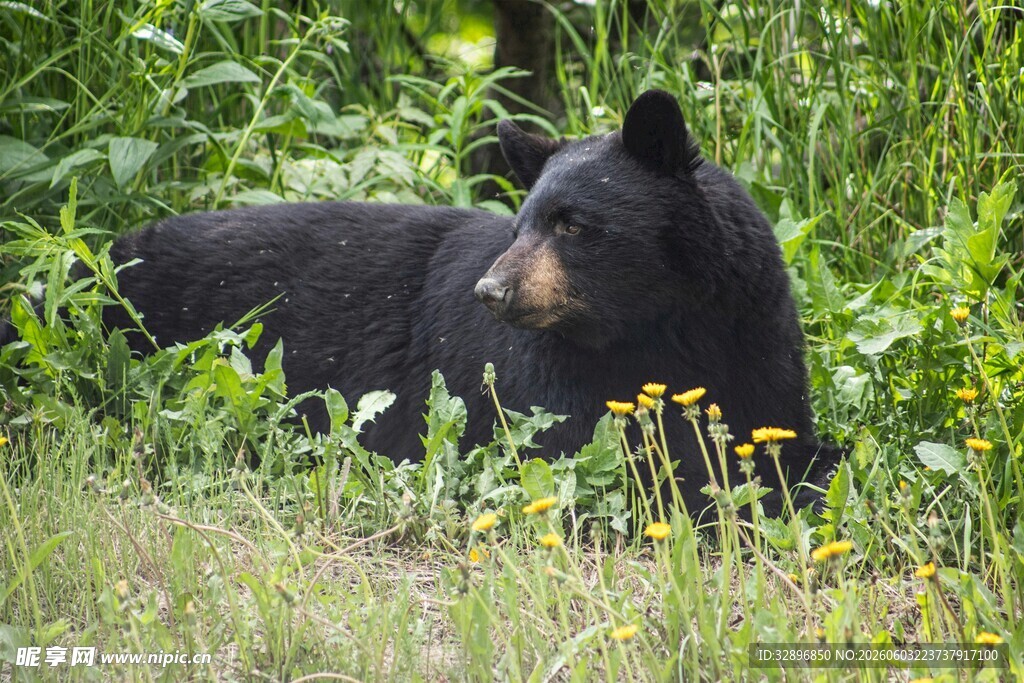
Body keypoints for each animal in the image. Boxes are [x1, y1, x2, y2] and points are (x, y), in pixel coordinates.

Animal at [29, 89, 838, 515]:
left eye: (573, 224)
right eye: (521, 223)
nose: (492, 289)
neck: (658, 329)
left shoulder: (753, 334)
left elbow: (775, 431)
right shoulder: (537, 381)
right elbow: (590, 455)